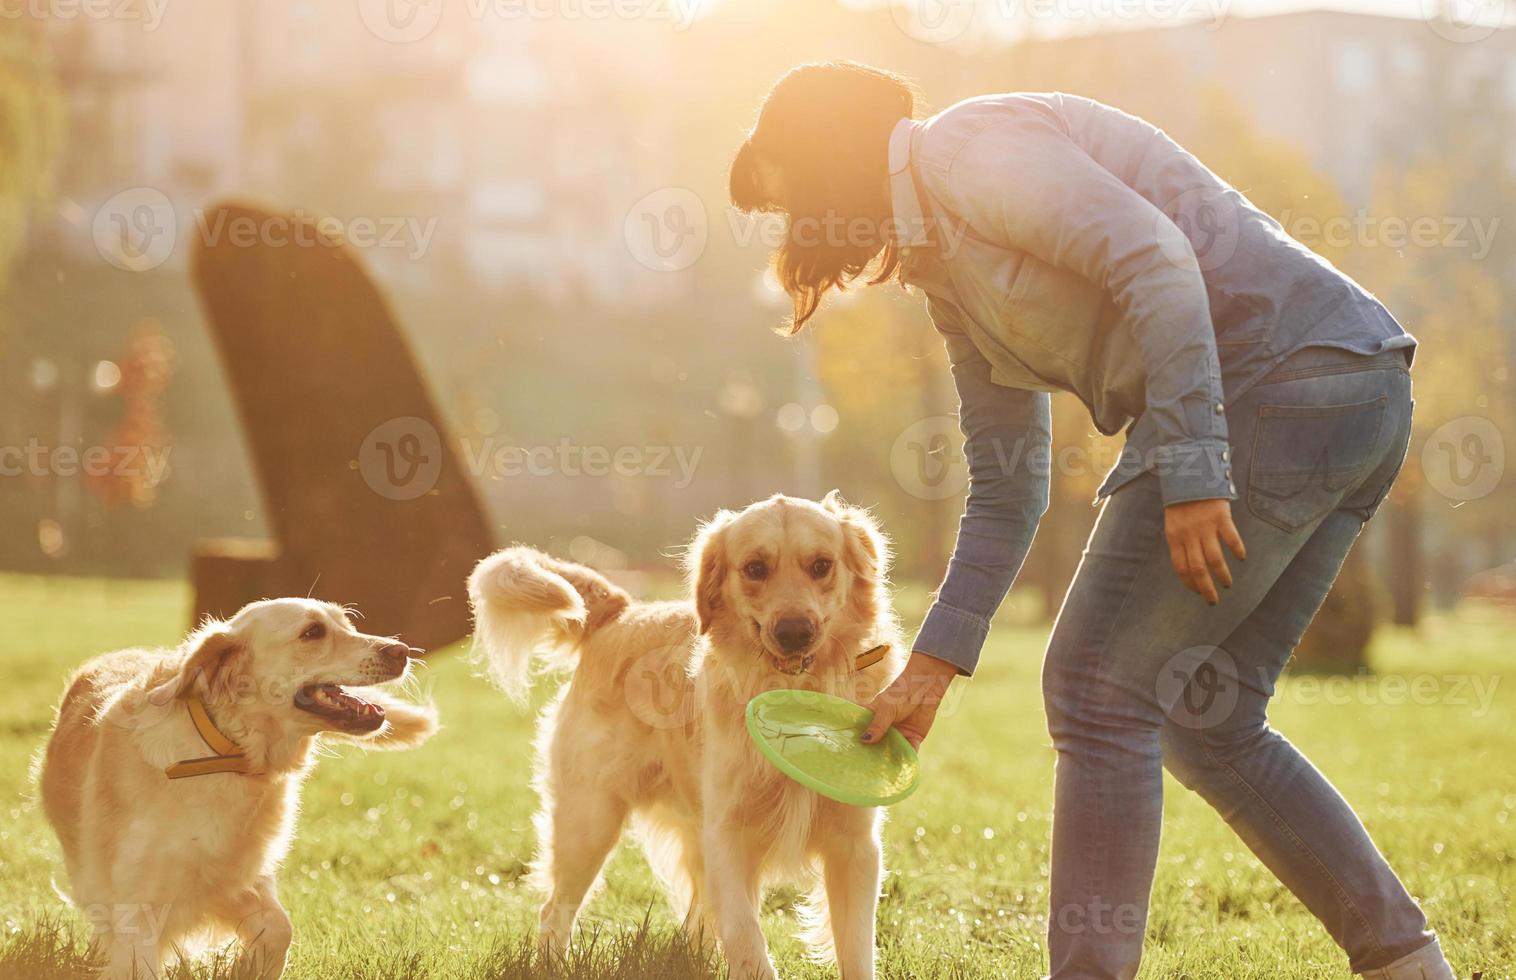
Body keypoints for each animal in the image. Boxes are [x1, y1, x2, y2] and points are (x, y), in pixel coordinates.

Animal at [38, 597, 439, 980]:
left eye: (347, 623)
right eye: (312, 632)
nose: (401, 651)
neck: (227, 754)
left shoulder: (238, 878)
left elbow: (279, 929)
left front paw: (245, 967)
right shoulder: (137, 906)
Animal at [466, 494, 903, 976]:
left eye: (821, 565)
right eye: (755, 568)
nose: (794, 633)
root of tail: (622, 611)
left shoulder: (855, 846)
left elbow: (856, 952)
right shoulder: (727, 838)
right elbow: (746, 938)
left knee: (696, 920)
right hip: (590, 821)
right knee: (555, 909)